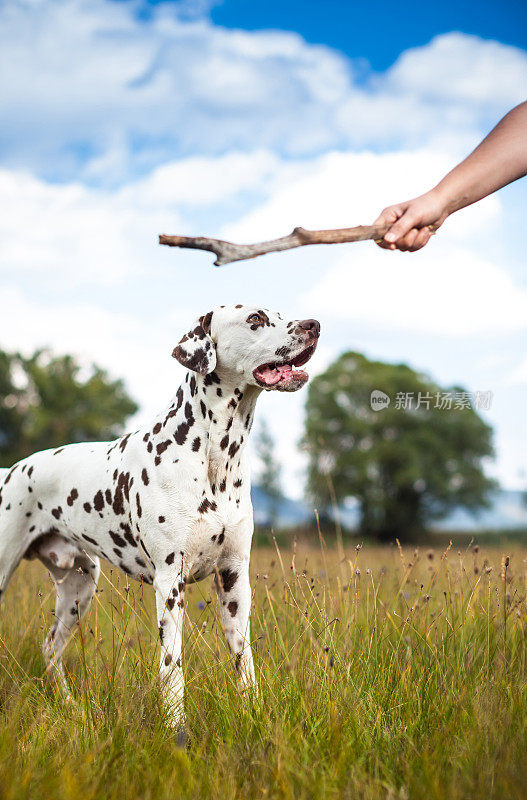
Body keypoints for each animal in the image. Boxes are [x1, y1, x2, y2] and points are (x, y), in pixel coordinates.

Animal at [0, 304, 320, 736]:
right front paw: (175, 727)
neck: (215, 457)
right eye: (255, 318)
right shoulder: (170, 582)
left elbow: (244, 660)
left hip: (79, 589)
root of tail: (12, 470)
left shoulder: (234, 578)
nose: (314, 325)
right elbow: (172, 667)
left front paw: (253, 713)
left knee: (51, 648)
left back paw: (69, 708)